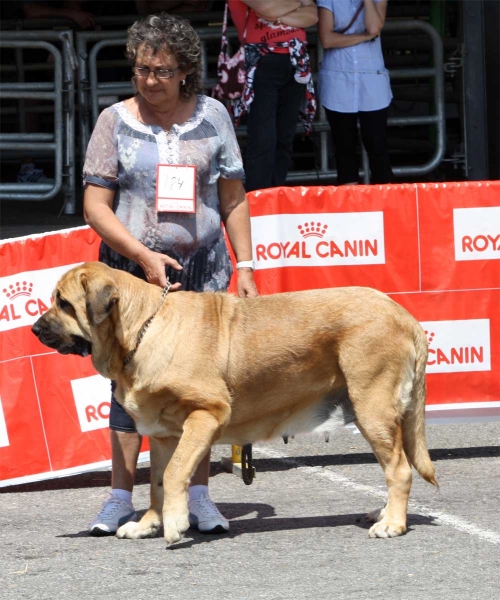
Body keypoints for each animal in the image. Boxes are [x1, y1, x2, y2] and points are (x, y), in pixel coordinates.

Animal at [32, 262, 438, 544]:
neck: (143, 330)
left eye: (64, 303)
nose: (35, 329)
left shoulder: (205, 415)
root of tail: (404, 315)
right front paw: (148, 524)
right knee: (396, 464)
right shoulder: (163, 435)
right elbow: (157, 483)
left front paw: (175, 524)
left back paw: (392, 524)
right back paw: (383, 514)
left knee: (399, 469)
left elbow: (175, 473)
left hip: (372, 409)